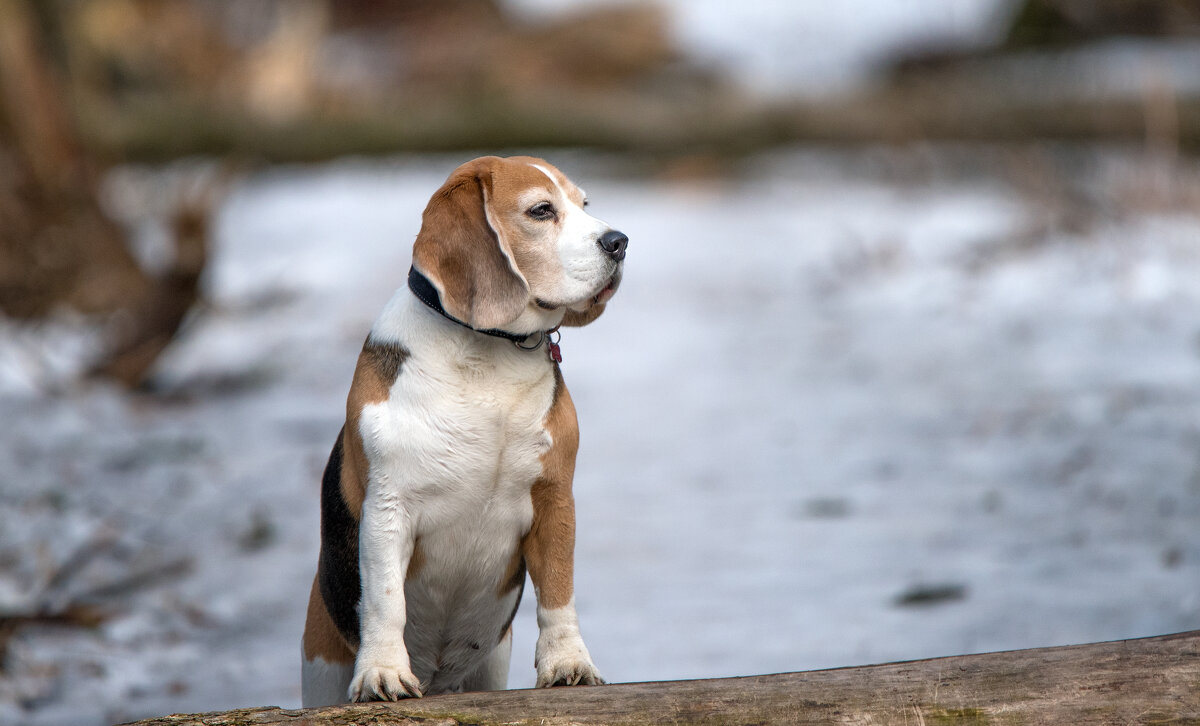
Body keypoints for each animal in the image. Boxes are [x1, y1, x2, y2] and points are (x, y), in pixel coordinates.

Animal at [297, 156, 628, 705]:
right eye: (541, 210)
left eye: (584, 204)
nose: (620, 242)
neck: (488, 354)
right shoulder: (387, 508)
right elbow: (385, 599)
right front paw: (384, 671)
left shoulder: (554, 498)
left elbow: (558, 592)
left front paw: (568, 663)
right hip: (320, 664)